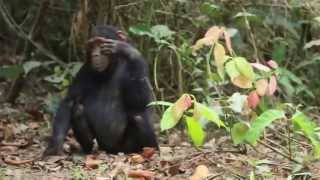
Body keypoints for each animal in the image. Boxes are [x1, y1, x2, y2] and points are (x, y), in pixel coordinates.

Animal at [43, 25, 159, 156]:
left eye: (100, 43)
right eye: (91, 46)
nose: (95, 55)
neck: (112, 66)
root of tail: (112, 151)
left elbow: (140, 102)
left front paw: (128, 50)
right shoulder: (85, 69)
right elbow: (70, 101)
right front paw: (54, 146)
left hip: (126, 147)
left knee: (139, 116)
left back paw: (152, 151)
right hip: (101, 145)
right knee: (78, 109)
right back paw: (88, 149)